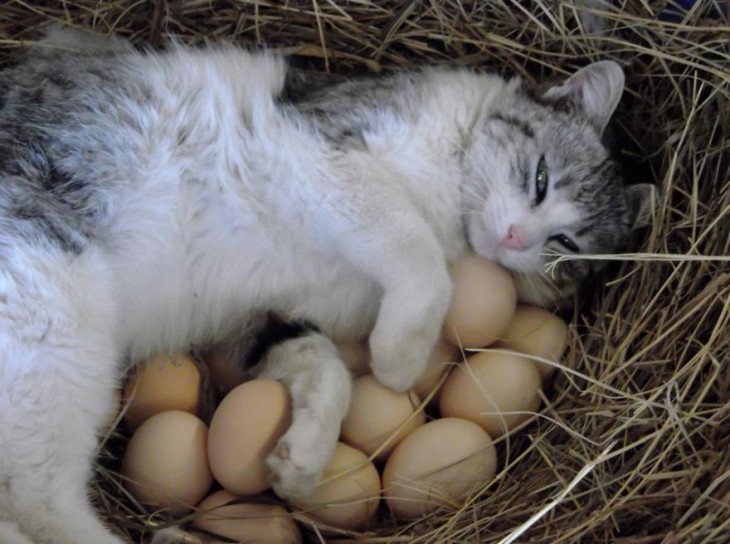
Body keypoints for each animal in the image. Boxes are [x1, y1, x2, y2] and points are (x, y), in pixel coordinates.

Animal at [0, 28, 656, 544]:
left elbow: (327, 369)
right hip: (53, 318)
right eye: (540, 178)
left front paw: (302, 456)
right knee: (39, 499)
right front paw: (400, 357)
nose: (517, 238)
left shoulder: (258, 318)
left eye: (566, 247)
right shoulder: (325, 152)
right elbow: (417, 253)